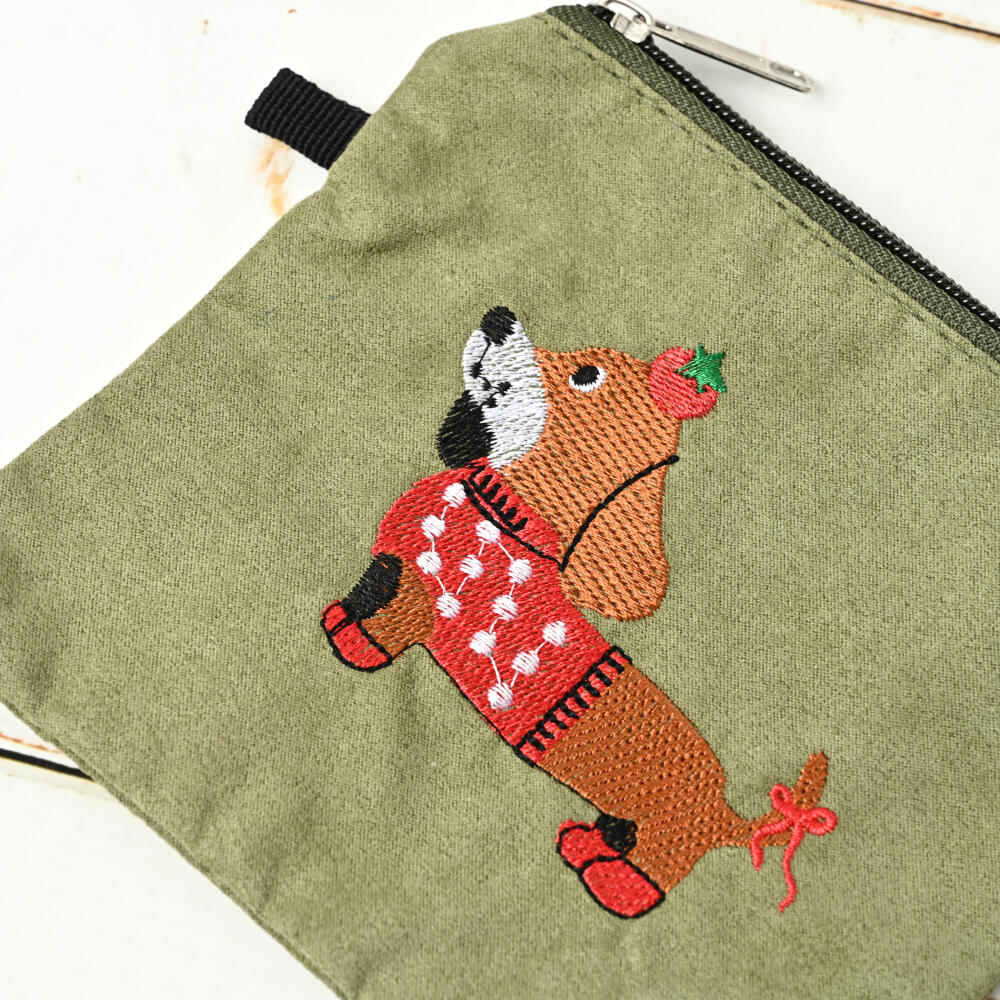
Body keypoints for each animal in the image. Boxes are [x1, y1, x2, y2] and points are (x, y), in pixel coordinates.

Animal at [321, 307, 836, 917]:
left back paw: (616, 884)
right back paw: (585, 847)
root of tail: (722, 809)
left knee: (659, 862)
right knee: (618, 832)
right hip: (621, 816)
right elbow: (367, 594)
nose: (498, 316)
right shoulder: (391, 566)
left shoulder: (416, 598)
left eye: (587, 375)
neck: (503, 510)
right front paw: (341, 623)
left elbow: (385, 616)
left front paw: (355, 643)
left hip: (666, 826)